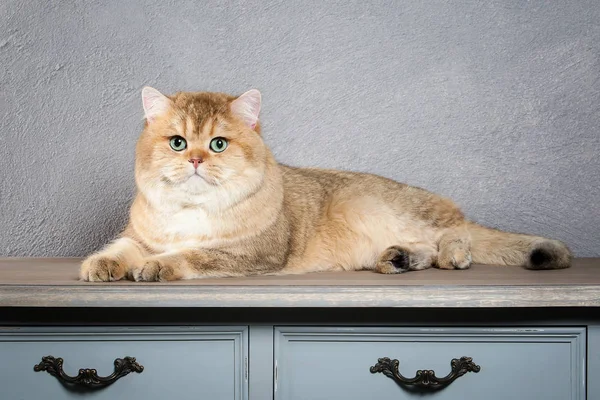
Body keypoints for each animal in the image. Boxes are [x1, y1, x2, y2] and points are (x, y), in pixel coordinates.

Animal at [79, 87, 572, 282]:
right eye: (178, 142)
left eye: (218, 143)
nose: (197, 159)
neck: (190, 211)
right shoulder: (139, 234)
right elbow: (121, 247)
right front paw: (101, 264)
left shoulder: (251, 253)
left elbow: (190, 254)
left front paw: (155, 267)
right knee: (425, 248)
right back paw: (398, 258)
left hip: (381, 204)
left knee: (453, 233)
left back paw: (453, 254)